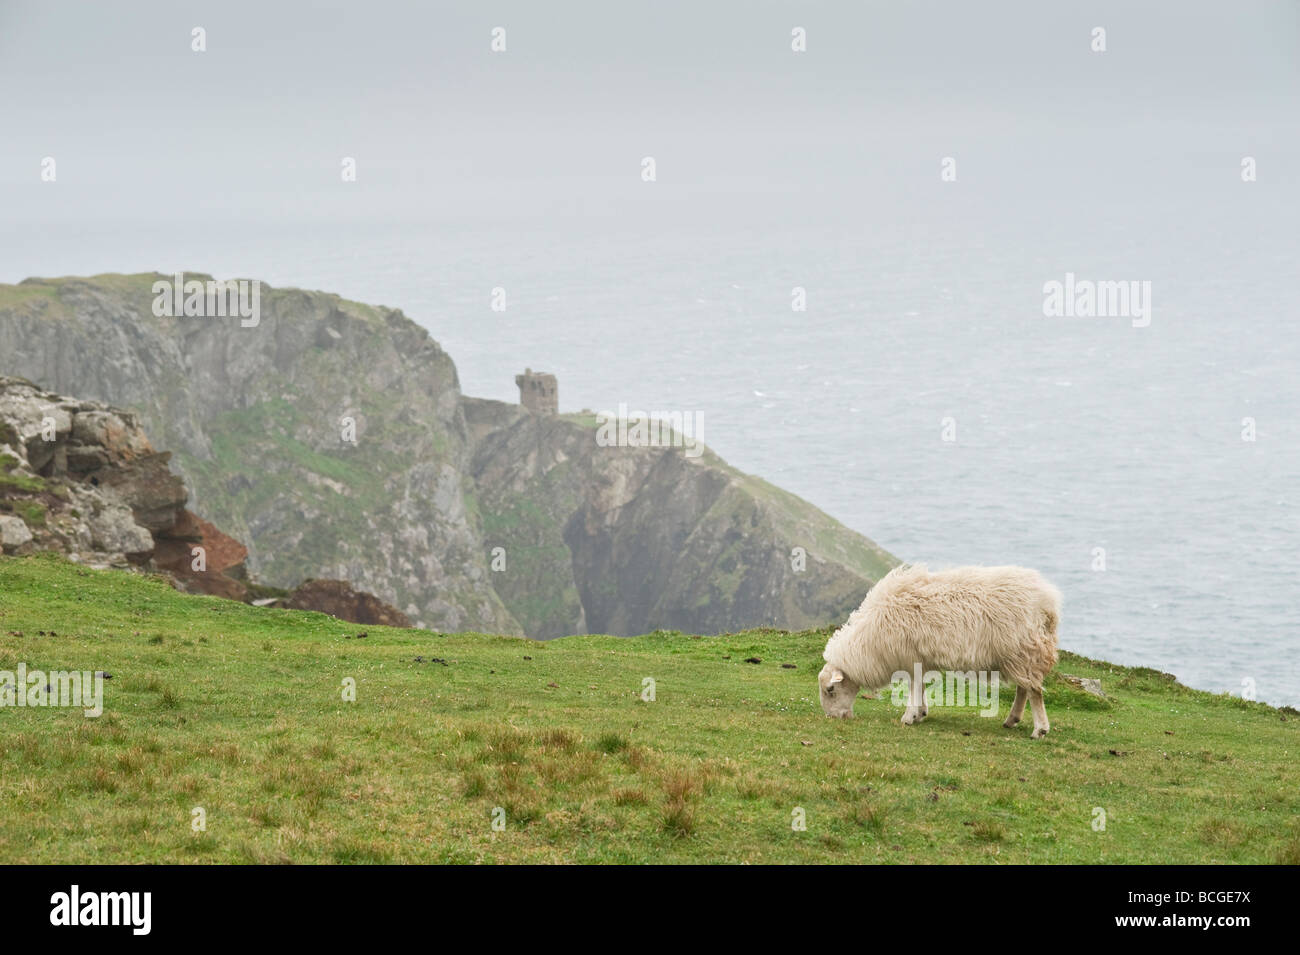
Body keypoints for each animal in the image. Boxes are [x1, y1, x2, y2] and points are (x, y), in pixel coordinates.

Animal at [816, 566, 1060, 738]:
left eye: (830, 689)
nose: (832, 717)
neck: (867, 641)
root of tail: (1048, 602)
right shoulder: (919, 658)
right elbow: (920, 684)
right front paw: (921, 712)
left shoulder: (909, 656)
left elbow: (914, 686)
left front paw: (909, 716)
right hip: (1018, 655)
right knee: (1023, 688)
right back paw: (1012, 720)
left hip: (1024, 650)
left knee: (1034, 691)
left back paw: (1040, 729)